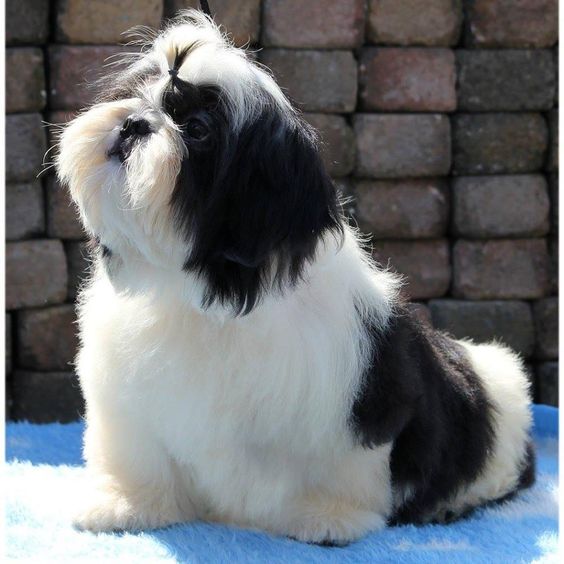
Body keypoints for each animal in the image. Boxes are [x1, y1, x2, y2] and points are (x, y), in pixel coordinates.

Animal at [56, 11, 532, 544]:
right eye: (135, 95)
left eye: (197, 129)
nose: (133, 123)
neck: (201, 292)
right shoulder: (127, 398)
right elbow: (137, 454)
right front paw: (126, 504)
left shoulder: (356, 395)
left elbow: (341, 462)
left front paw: (329, 516)